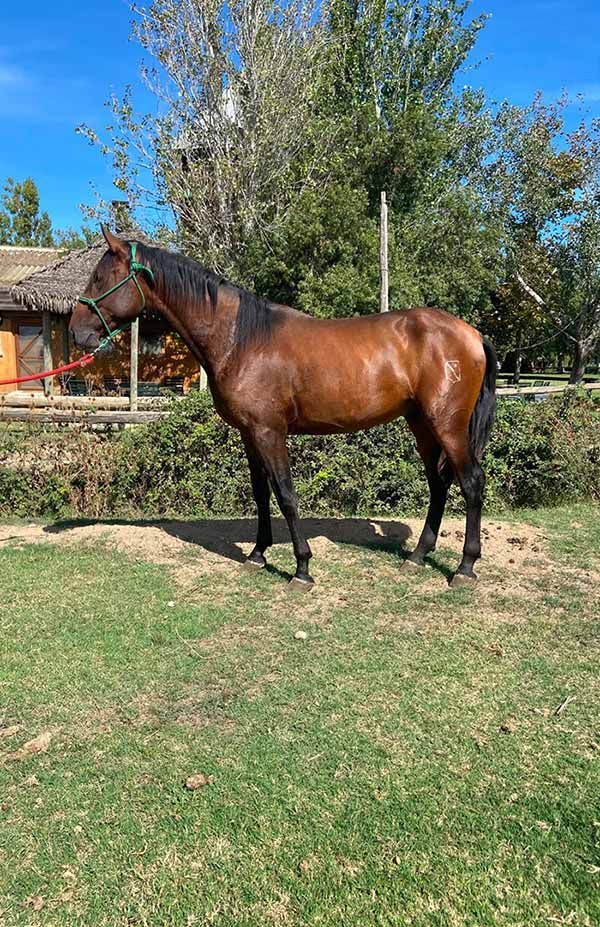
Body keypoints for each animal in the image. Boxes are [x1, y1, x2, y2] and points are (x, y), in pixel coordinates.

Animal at [70, 226, 497, 591]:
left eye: (100, 278)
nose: (77, 332)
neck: (242, 339)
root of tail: (473, 334)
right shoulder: (249, 433)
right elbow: (261, 493)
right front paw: (258, 555)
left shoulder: (269, 431)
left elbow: (286, 494)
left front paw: (302, 569)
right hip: (421, 424)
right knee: (439, 483)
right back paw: (418, 556)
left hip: (448, 426)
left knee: (471, 482)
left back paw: (464, 568)